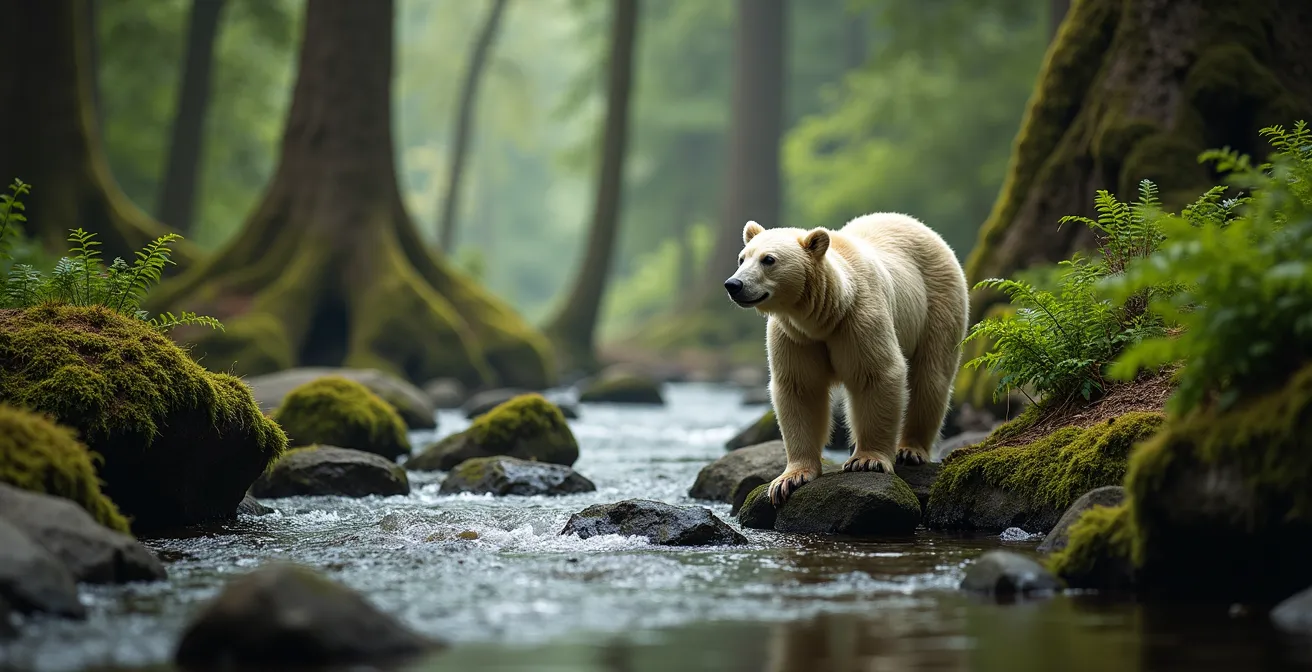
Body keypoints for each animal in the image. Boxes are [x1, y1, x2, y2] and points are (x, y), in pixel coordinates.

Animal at [723, 212, 968, 506]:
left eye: (768, 259)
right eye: (742, 258)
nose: (734, 284)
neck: (825, 315)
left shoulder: (859, 319)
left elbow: (876, 375)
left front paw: (867, 460)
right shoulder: (794, 336)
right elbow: (800, 389)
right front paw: (789, 479)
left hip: (938, 302)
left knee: (931, 376)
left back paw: (911, 449)